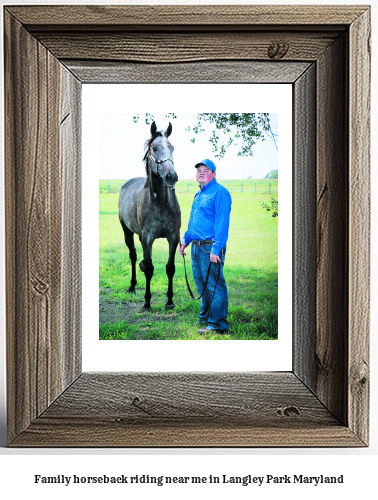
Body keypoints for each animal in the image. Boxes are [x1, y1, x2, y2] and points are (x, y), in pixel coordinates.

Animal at [119, 121, 182, 308]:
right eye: (154, 148)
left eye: (172, 147)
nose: (171, 176)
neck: (159, 203)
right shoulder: (148, 238)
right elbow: (148, 268)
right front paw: (147, 302)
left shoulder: (173, 236)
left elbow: (170, 268)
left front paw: (169, 301)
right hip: (127, 231)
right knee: (133, 255)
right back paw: (132, 287)